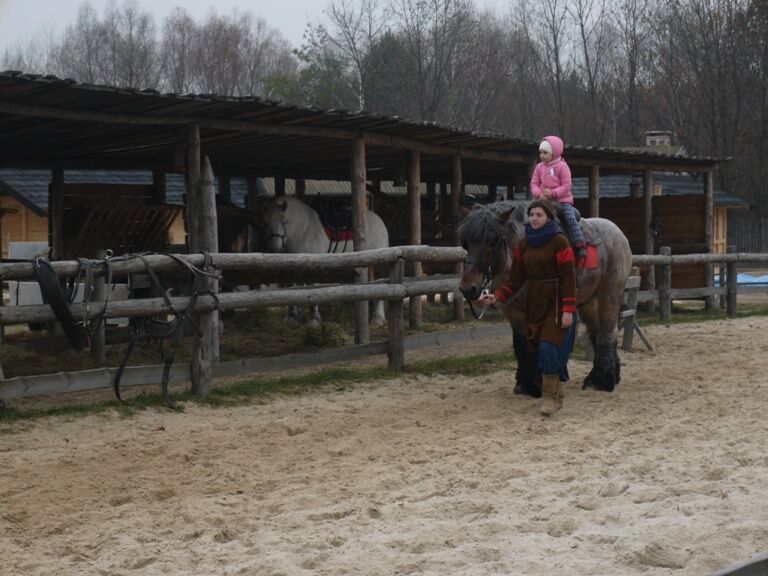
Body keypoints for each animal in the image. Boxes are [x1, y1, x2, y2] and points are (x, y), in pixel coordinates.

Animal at [460, 200, 632, 394]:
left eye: (492, 241)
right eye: (465, 243)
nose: (468, 289)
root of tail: (618, 233)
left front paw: (536, 384)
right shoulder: (513, 312)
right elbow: (521, 344)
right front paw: (525, 384)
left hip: (609, 295)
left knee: (607, 333)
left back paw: (603, 381)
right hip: (588, 302)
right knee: (597, 333)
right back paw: (601, 377)